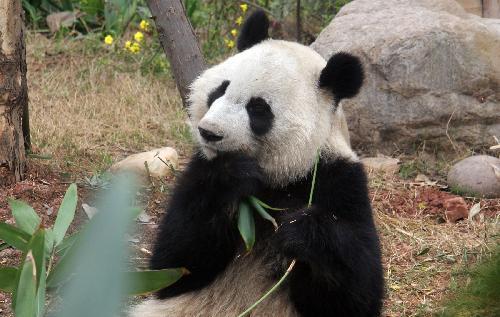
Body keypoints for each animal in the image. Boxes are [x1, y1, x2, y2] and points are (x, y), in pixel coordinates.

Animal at [129, 9, 382, 316]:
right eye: (219, 90)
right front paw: (231, 173)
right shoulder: (199, 168)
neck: (279, 178)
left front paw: (303, 230)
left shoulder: (340, 180)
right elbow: (175, 264)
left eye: (258, 108)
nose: (209, 132)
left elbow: (357, 295)